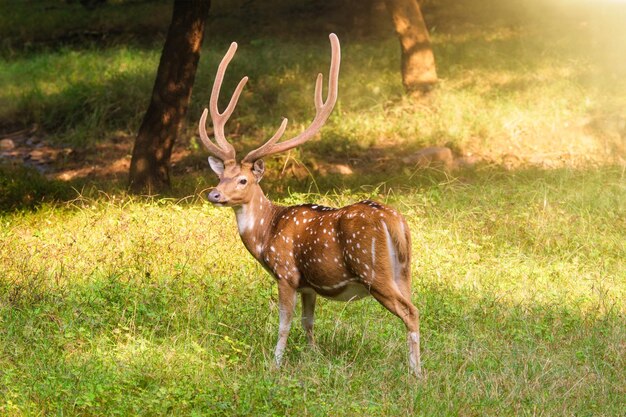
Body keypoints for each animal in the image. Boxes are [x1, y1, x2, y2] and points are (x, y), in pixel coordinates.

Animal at [201, 34, 420, 376]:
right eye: (221, 175)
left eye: (243, 181)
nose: (214, 194)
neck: (266, 234)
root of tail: (395, 222)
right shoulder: (308, 286)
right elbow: (308, 322)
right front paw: (314, 357)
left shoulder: (287, 273)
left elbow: (284, 323)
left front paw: (275, 364)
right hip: (405, 270)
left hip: (374, 271)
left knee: (411, 312)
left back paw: (416, 373)